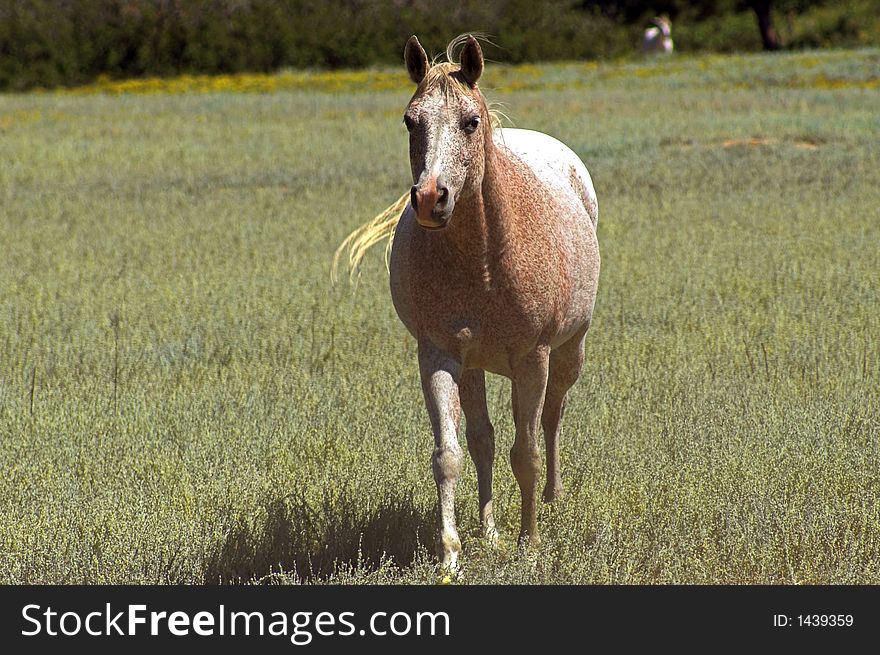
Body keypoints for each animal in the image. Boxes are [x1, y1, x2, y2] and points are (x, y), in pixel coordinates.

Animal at [334, 36, 600, 572]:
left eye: (470, 122)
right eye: (410, 121)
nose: (429, 197)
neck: (483, 258)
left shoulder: (533, 358)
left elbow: (527, 453)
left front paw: (530, 544)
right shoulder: (438, 355)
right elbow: (451, 454)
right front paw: (452, 555)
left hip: (569, 352)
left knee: (552, 417)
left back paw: (553, 500)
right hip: (475, 365)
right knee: (483, 441)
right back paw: (489, 530)